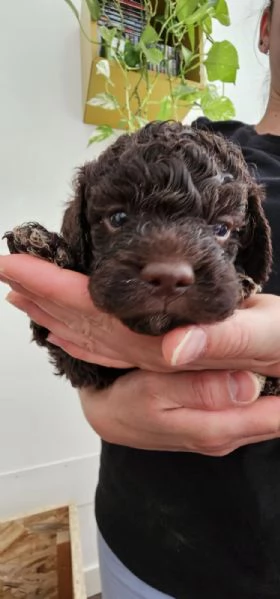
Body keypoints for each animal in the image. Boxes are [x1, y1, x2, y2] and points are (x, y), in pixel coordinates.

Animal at [3, 122, 276, 394]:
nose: (169, 279)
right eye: (118, 218)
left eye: (221, 229)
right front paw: (43, 245)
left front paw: (244, 285)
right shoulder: (81, 360)